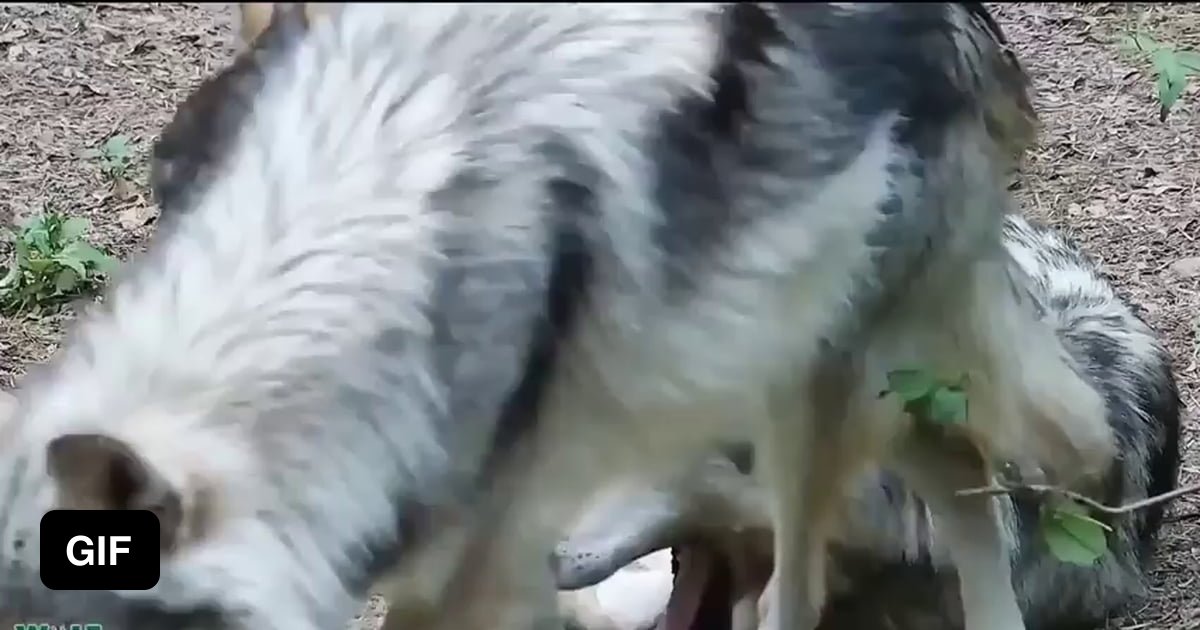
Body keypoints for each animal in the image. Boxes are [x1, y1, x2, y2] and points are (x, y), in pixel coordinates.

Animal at [0, 4, 1114, 630]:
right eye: (167, 180)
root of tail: (969, 22)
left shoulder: (475, 564)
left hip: (804, 404)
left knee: (802, 588)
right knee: (954, 467)